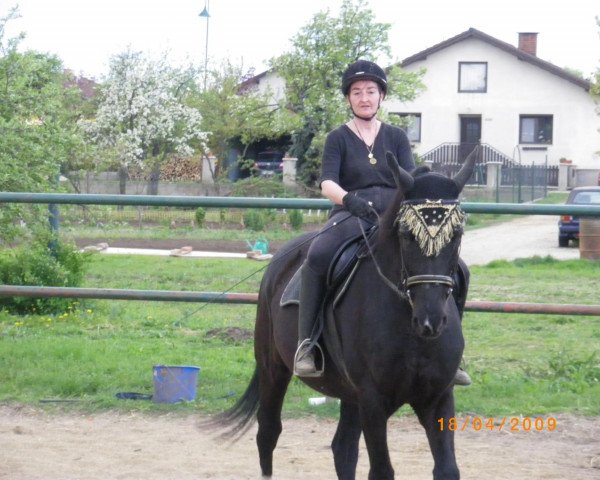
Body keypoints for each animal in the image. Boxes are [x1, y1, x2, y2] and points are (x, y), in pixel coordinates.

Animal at [212, 151, 478, 480]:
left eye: (457, 233)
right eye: (406, 234)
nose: (430, 320)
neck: (410, 329)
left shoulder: (438, 397)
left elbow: (447, 469)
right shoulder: (373, 401)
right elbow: (381, 471)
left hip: (349, 394)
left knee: (343, 448)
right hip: (273, 367)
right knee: (268, 433)